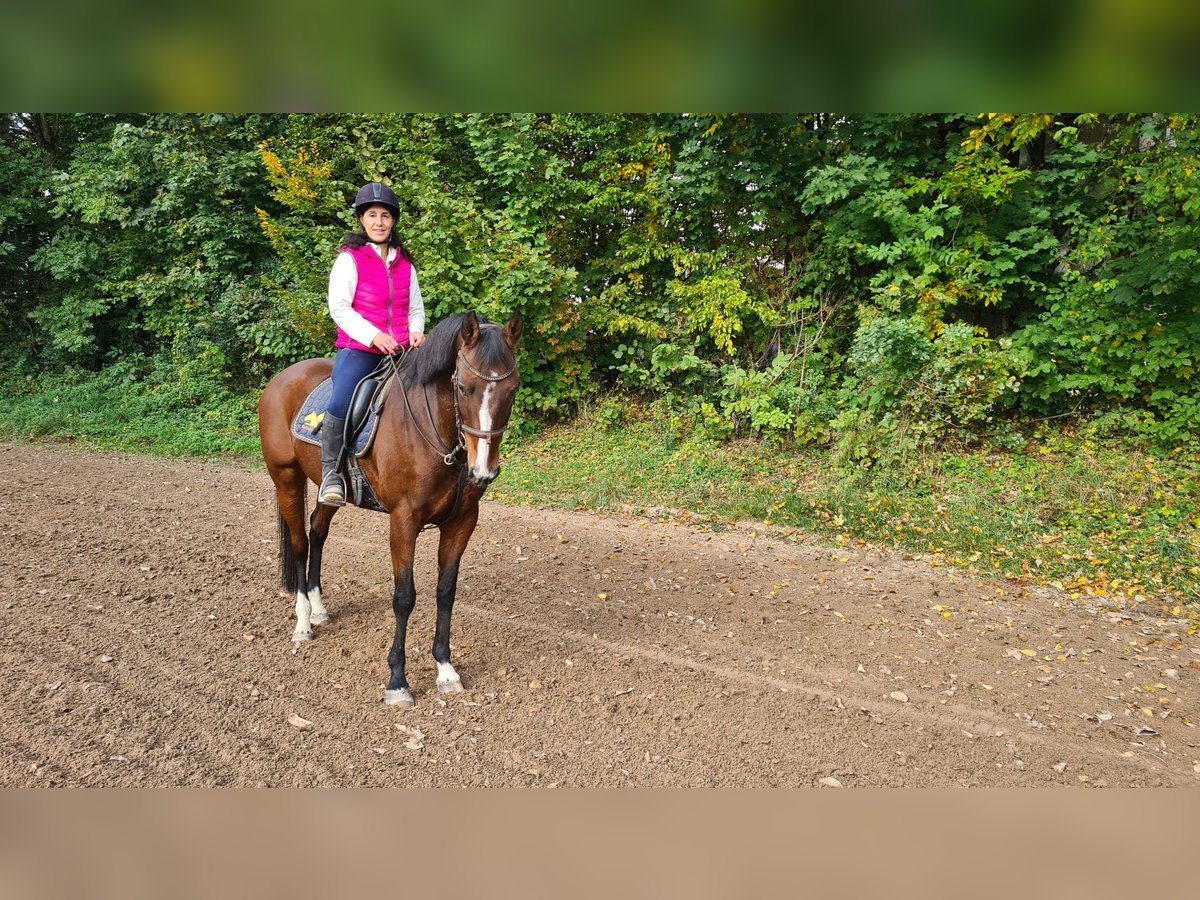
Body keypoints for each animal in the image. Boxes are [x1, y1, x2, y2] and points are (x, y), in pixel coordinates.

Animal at [258, 314, 520, 710]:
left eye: (513, 389)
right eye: (463, 387)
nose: (484, 470)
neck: (431, 427)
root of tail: (281, 379)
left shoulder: (462, 522)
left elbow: (446, 593)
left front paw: (446, 670)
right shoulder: (403, 520)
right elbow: (404, 597)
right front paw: (398, 681)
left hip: (326, 489)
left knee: (317, 532)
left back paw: (318, 609)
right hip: (286, 478)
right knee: (300, 542)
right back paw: (302, 623)